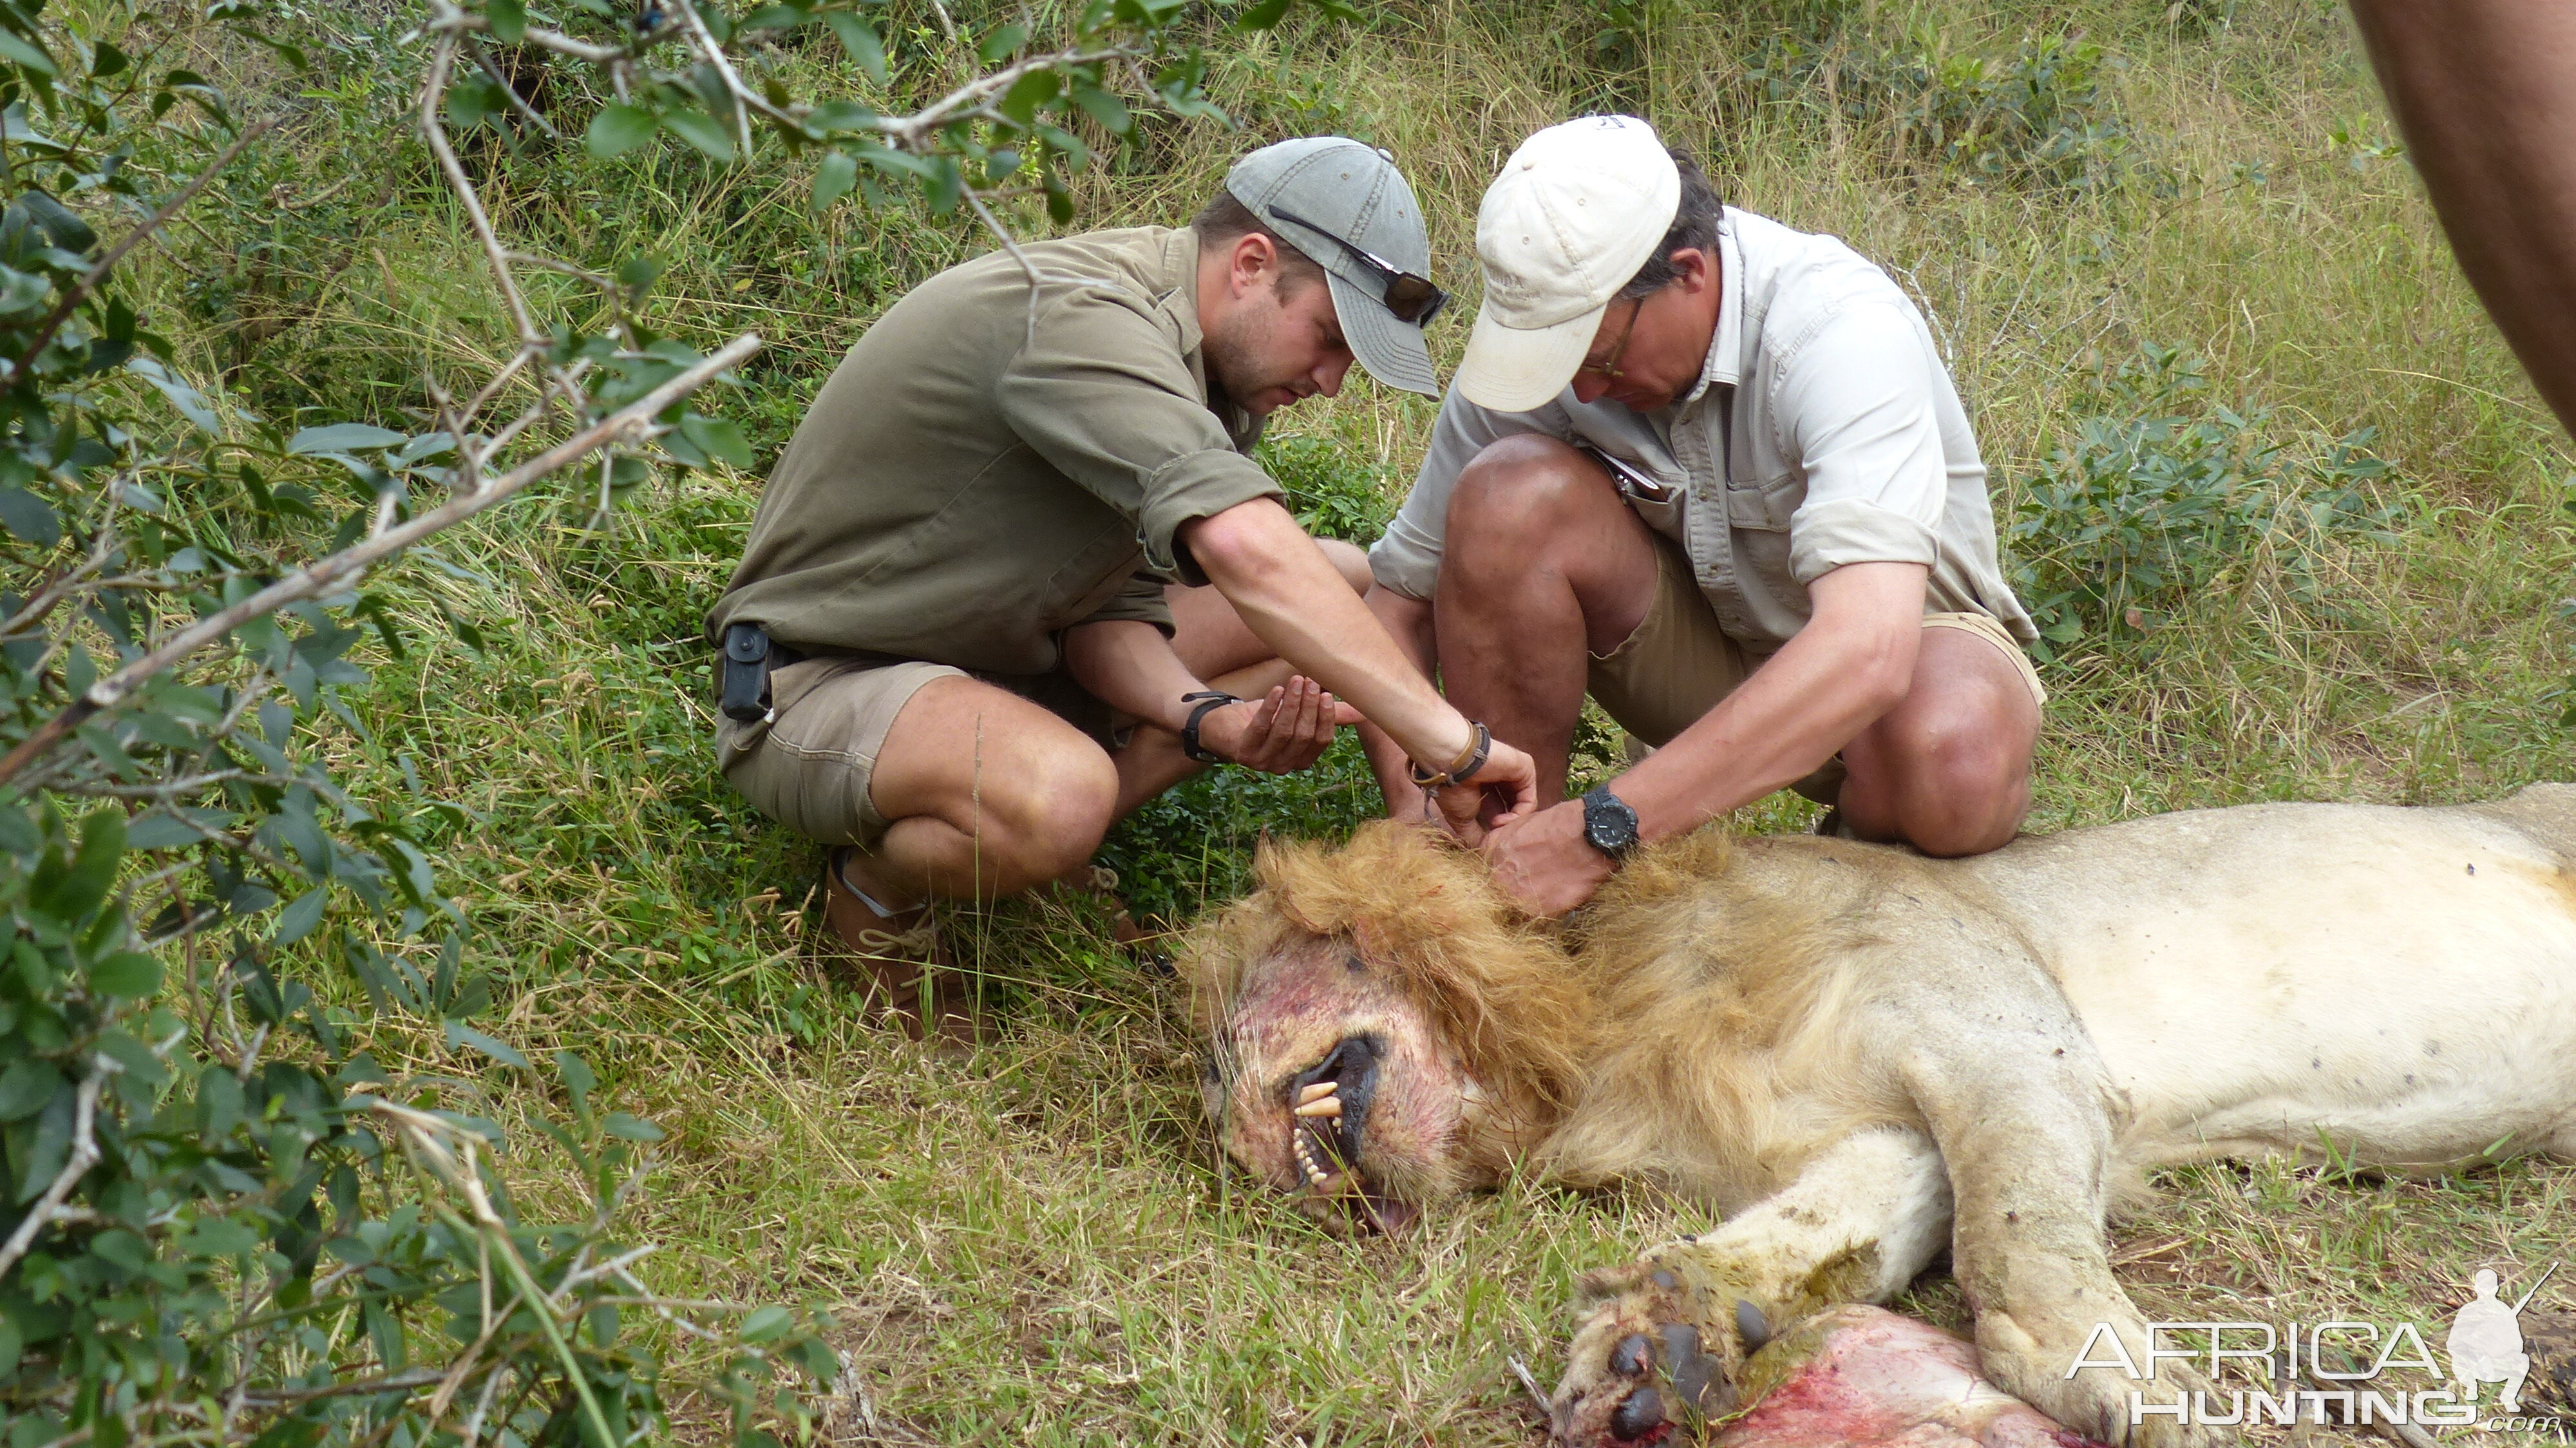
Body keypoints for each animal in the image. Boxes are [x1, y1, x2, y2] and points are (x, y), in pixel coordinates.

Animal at [1185, 783, 2576, 1433]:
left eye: (1213, 1047)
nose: (1226, 1133)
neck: (1597, 1024)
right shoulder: (1886, 1128)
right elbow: (1837, 1229)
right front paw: (1660, 1346)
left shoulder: (2003, 1031)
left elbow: (2020, 1237)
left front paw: (2145, 1392)